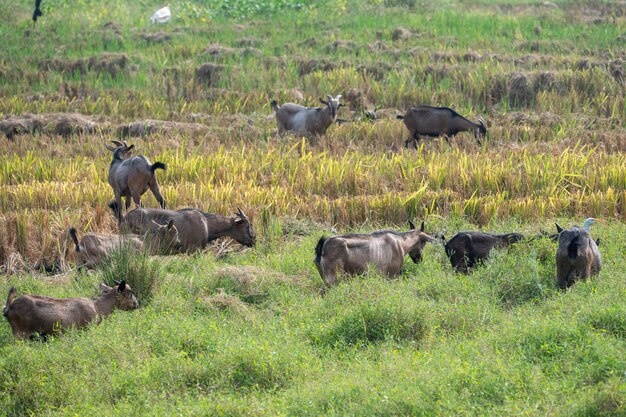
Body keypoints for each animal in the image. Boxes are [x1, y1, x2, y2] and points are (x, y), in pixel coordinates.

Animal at [3, 282, 138, 340]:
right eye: (130, 293)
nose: (137, 304)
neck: (98, 306)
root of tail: (8, 307)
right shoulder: (87, 329)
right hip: (20, 334)